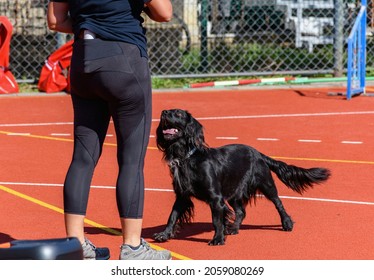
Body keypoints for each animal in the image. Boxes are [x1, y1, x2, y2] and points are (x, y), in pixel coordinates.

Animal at [153, 108, 332, 244]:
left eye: (178, 113)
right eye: (168, 111)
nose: (163, 112)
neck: (186, 158)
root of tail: (259, 153)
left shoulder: (216, 198)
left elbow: (216, 221)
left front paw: (218, 239)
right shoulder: (182, 196)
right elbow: (172, 216)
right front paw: (164, 234)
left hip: (266, 184)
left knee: (278, 203)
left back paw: (287, 223)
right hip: (235, 191)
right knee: (241, 212)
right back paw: (234, 228)